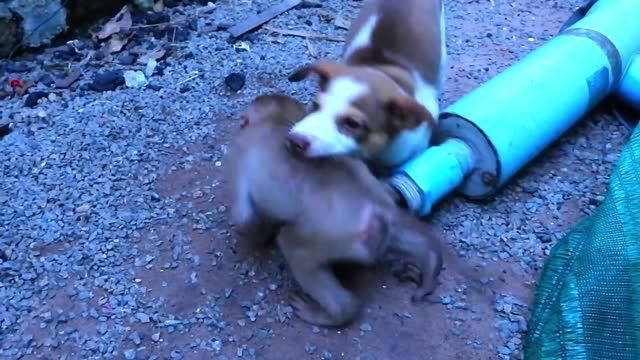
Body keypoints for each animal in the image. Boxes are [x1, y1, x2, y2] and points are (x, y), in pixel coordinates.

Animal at [228, 94, 442, 328]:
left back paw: (336, 312)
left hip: (335, 235)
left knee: (293, 246)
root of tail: (378, 206)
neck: (276, 121)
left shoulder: (240, 153)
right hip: (379, 223)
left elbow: (245, 218)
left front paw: (256, 236)